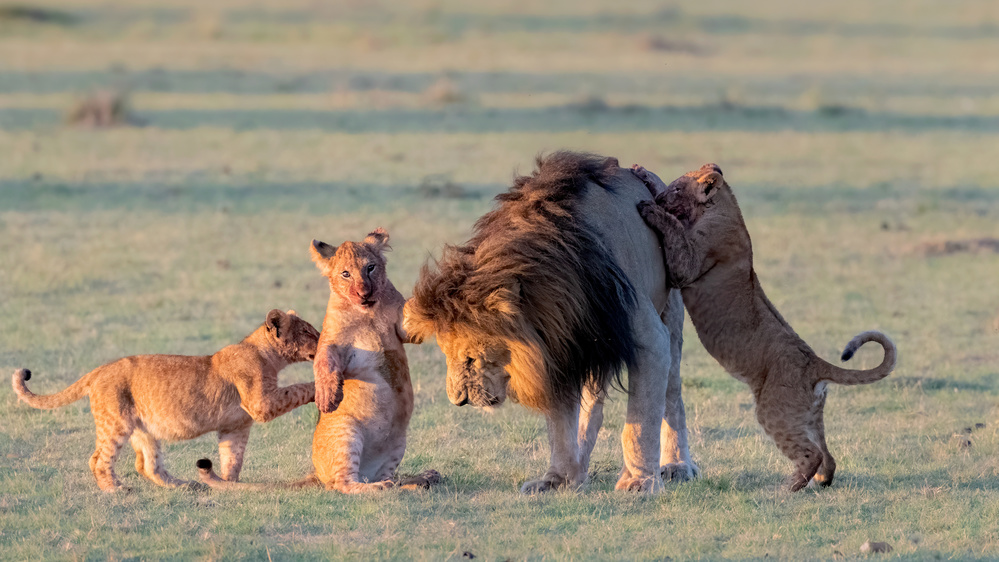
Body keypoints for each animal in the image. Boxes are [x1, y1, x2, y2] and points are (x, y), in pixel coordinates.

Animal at [404, 151, 696, 492]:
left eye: (471, 358)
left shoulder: (648, 341)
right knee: (591, 407)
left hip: (670, 311)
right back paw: (580, 469)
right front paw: (557, 479)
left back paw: (677, 466)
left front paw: (639, 482)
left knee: (672, 395)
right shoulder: (557, 345)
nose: (458, 401)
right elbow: (559, 426)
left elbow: (640, 422)